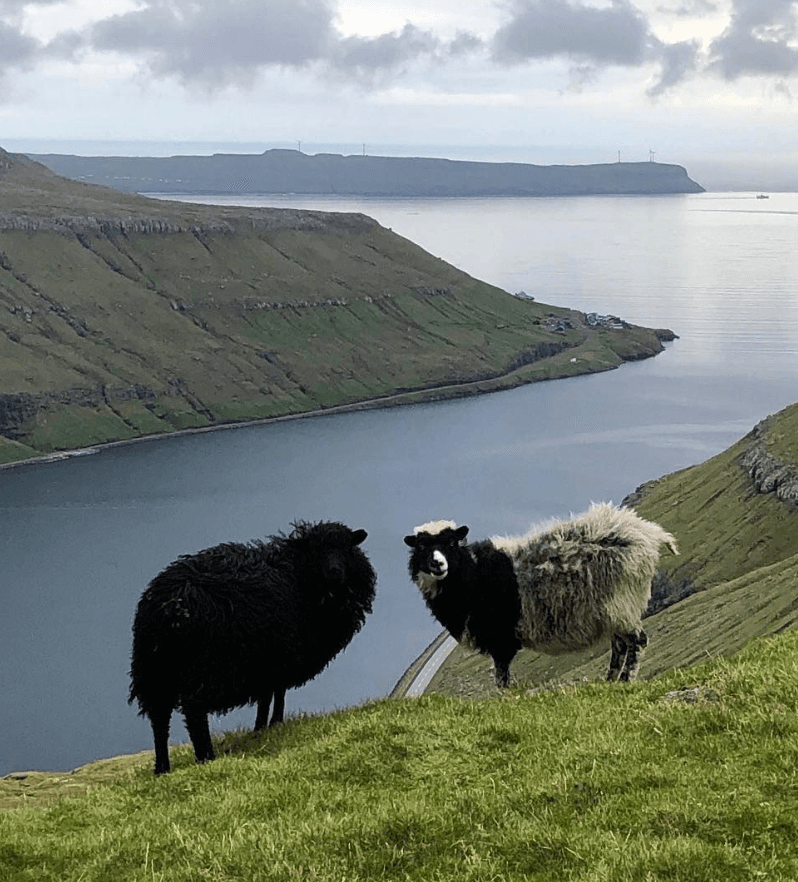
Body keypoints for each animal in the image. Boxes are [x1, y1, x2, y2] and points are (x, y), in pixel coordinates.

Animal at [129, 520, 376, 774]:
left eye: (346, 547)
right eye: (316, 549)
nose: (335, 572)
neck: (298, 577)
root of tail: (171, 604)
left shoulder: (265, 660)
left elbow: (267, 696)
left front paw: (261, 728)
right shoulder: (280, 654)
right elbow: (277, 693)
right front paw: (274, 723)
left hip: (155, 668)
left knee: (160, 718)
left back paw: (162, 768)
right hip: (202, 665)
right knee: (194, 712)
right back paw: (206, 756)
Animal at [404, 503, 678, 688]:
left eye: (451, 543)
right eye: (421, 546)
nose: (438, 564)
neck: (471, 573)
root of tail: (648, 533)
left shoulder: (500, 637)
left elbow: (501, 676)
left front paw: (504, 699)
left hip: (621, 602)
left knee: (637, 641)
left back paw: (624, 681)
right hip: (613, 610)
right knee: (620, 644)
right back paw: (609, 681)